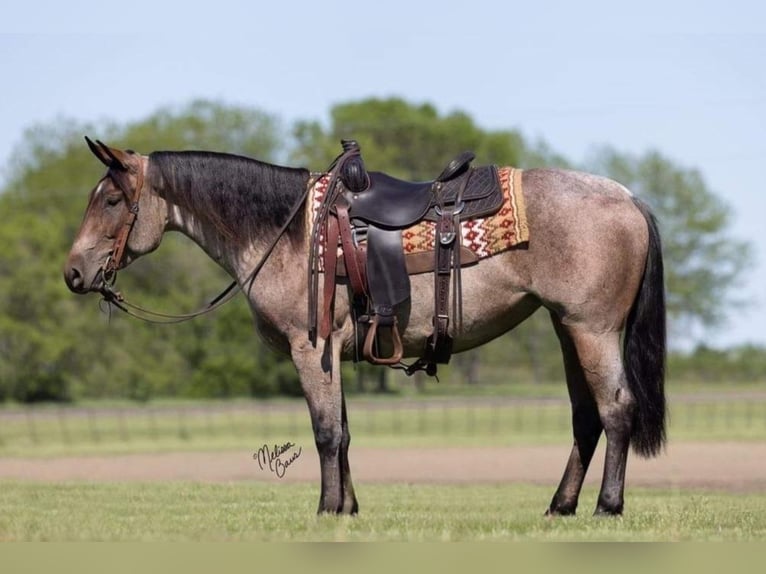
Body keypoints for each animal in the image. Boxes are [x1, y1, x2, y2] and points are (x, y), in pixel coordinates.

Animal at [64, 140, 664, 516]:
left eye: (112, 199)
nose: (73, 273)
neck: (287, 234)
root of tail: (628, 198)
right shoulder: (332, 352)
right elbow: (345, 431)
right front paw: (348, 507)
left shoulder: (310, 348)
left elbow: (326, 432)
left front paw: (327, 508)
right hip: (567, 329)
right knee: (586, 418)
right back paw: (560, 506)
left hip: (592, 330)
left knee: (616, 410)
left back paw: (607, 506)